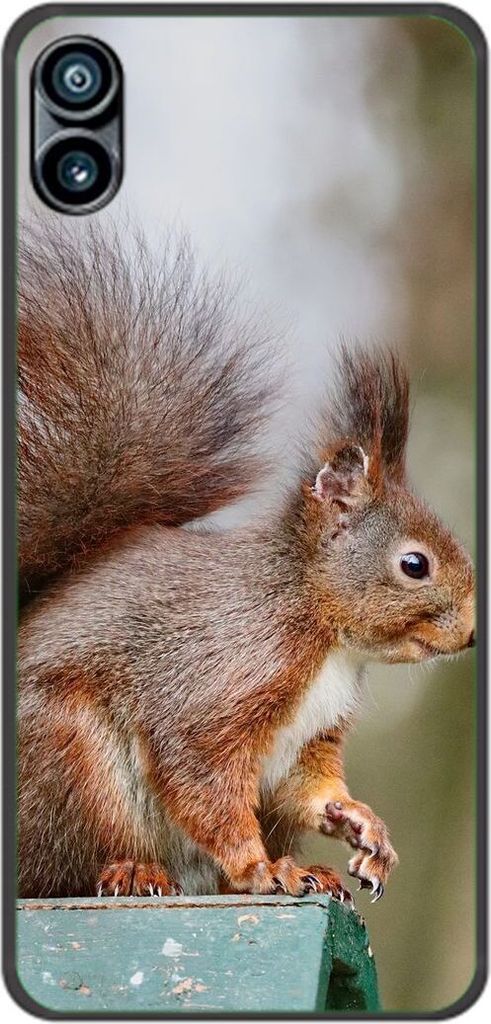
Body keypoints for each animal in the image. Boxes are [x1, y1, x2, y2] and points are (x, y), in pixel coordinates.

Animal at [17, 222, 475, 903]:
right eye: (414, 565)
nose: (472, 634)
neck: (319, 625)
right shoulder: (225, 671)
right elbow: (201, 773)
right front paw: (259, 868)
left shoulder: (312, 736)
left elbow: (309, 787)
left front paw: (362, 825)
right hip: (70, 762)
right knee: (69, 864)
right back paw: (135, 869)